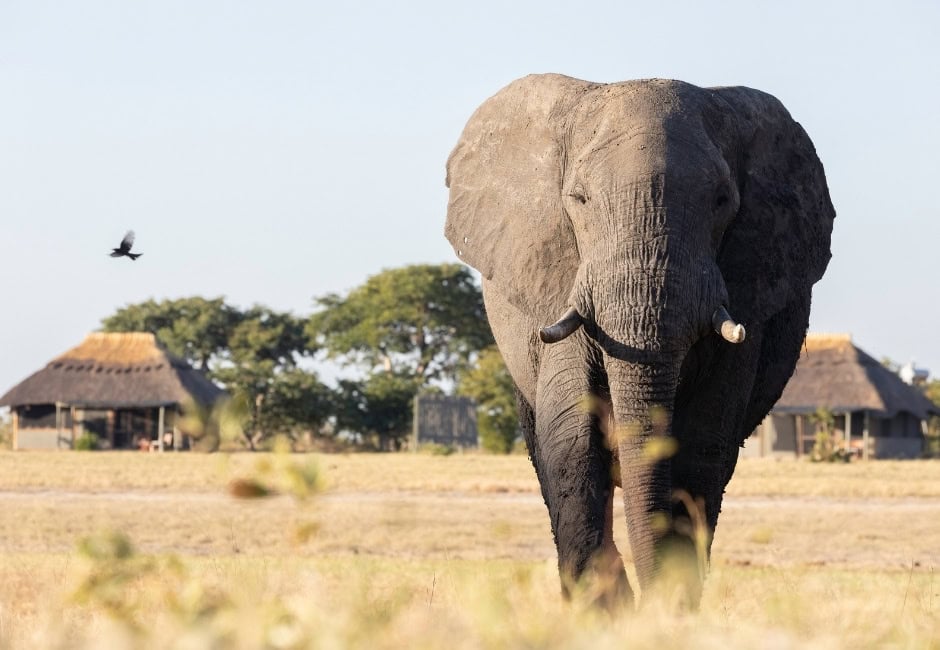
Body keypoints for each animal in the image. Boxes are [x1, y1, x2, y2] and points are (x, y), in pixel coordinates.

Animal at [444, 74, 835, 606]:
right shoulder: (564, 281)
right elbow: (572, 438)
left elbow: (701, 443)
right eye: (579, 199)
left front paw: (671, 606)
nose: (656, 600)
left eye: (722, 201)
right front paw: (604, 612)